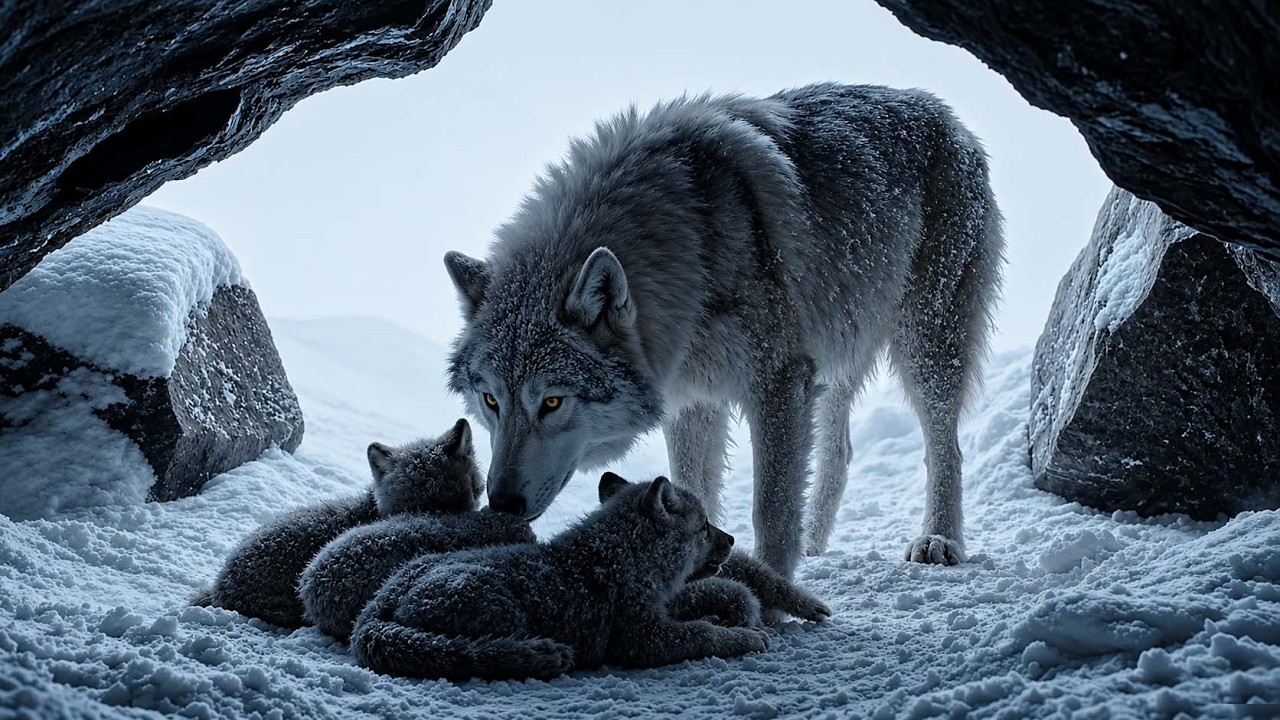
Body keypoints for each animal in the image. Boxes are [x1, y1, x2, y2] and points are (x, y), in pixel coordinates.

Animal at [350, 474, 769, 680]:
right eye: (704, 527)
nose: (733, 539)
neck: (625, 559)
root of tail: (370, 614)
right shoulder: (642, 639)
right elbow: (704, 634)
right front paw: (744, 637)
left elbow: (698, 614)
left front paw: (724, 616)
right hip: (504, 611)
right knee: (474, 655)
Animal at [443, 82, 1004, 576]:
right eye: (490, 401)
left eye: (553, 402)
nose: (501, 504)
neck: (688, 247)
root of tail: (943, 113)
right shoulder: (692, 400)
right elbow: (692, 489)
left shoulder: (778, 383)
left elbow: (771, 510)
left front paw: (773, 591)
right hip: (837, 356)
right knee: (840, 451)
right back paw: (816, 542)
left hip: (925, 346)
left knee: (945, 447)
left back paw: (939, 539)